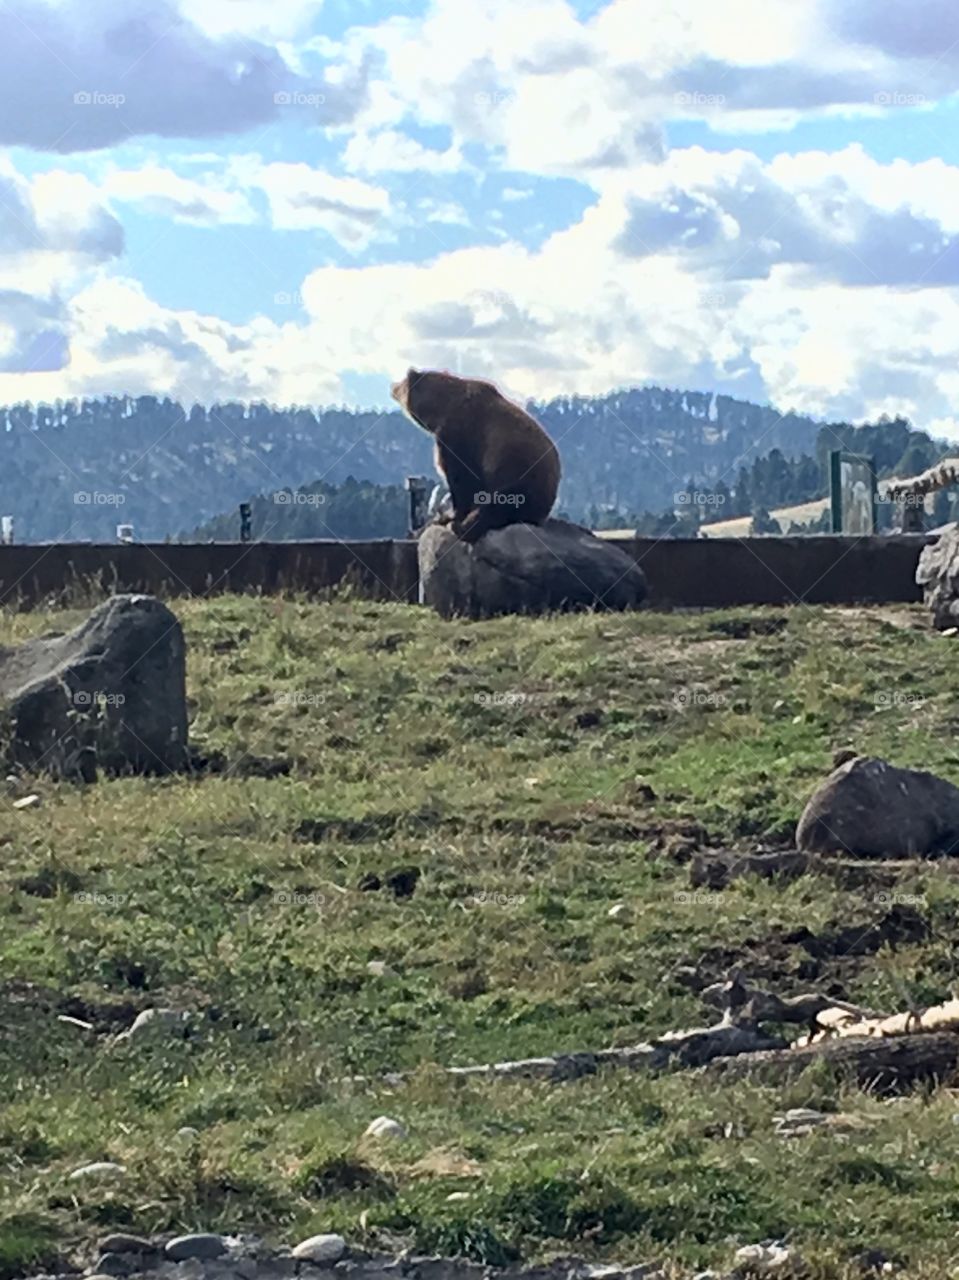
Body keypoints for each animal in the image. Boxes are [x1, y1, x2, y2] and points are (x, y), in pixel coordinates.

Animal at [390, 368, 561, 544]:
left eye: (401, 383)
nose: (392, 387)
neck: (443, 409)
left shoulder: (461, 436)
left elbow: (461, 479)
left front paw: (453, 515)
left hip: (521, 478)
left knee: (497, 507)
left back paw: (462, 526)